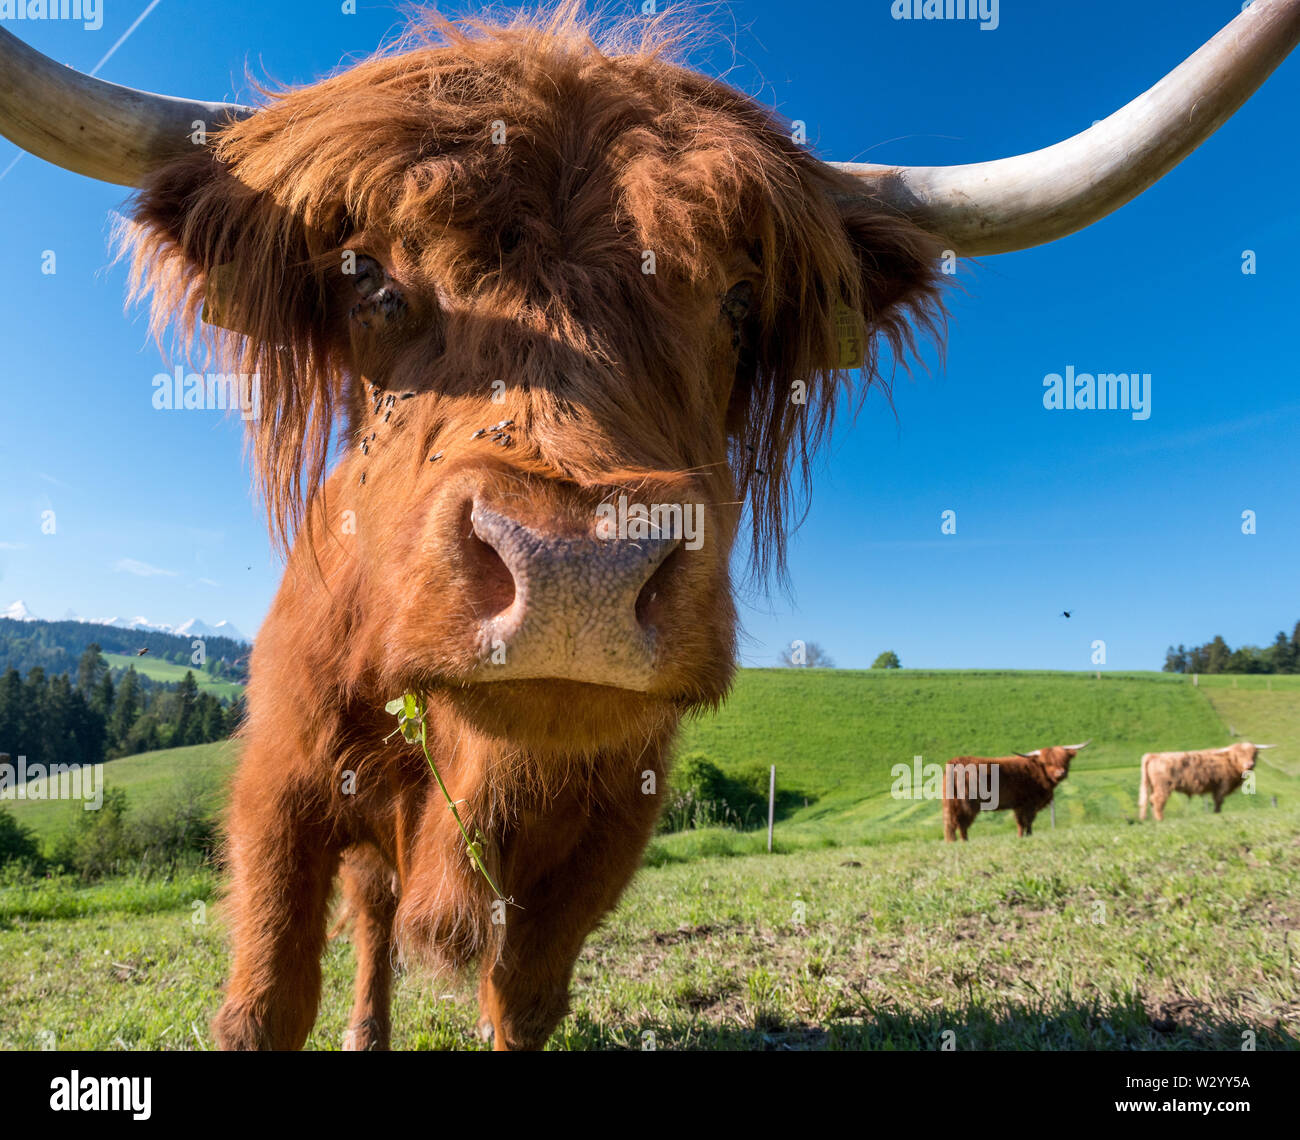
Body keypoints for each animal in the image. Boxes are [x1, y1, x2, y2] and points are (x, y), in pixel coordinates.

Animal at [942, 742, 1089, 841]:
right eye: (1047, 762)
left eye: (1065, 760)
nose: (1061, 773)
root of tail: (954, 761)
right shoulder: (1028, 804)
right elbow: (1027, 821)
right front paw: (1029, 835)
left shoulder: (1018, 805)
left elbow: (1020, 823)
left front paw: (1021, 837)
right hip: (968, 802)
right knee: (961, 822)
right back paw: (964, 841)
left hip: (952, 802)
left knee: (951, 822)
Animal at [1137, 742, 1273, 821]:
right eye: (1238, 754)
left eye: (1254, 753)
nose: (1250, 764)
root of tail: (1154, 755)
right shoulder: (1221, 786)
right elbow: (1218, 802)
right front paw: (1217, 814)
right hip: (1163, 786)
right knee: (1157, 800)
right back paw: (1160, 819)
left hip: (1154, 786)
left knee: (1151, 800)